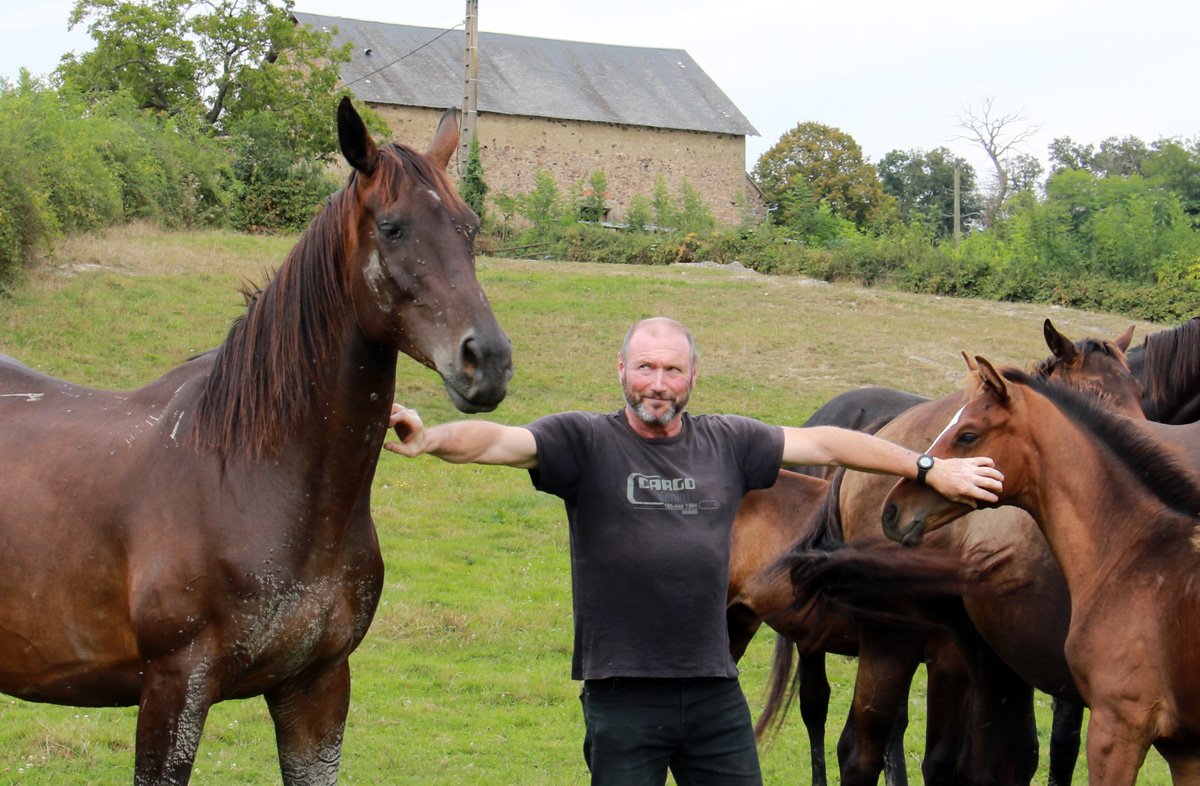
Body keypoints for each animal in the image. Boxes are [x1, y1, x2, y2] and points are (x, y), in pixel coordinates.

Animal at [0, 97, 512, 785]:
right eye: (392, 227)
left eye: (469, 226)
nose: (489, 361)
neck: (251, 477)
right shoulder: (174, 689)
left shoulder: (318, 689)